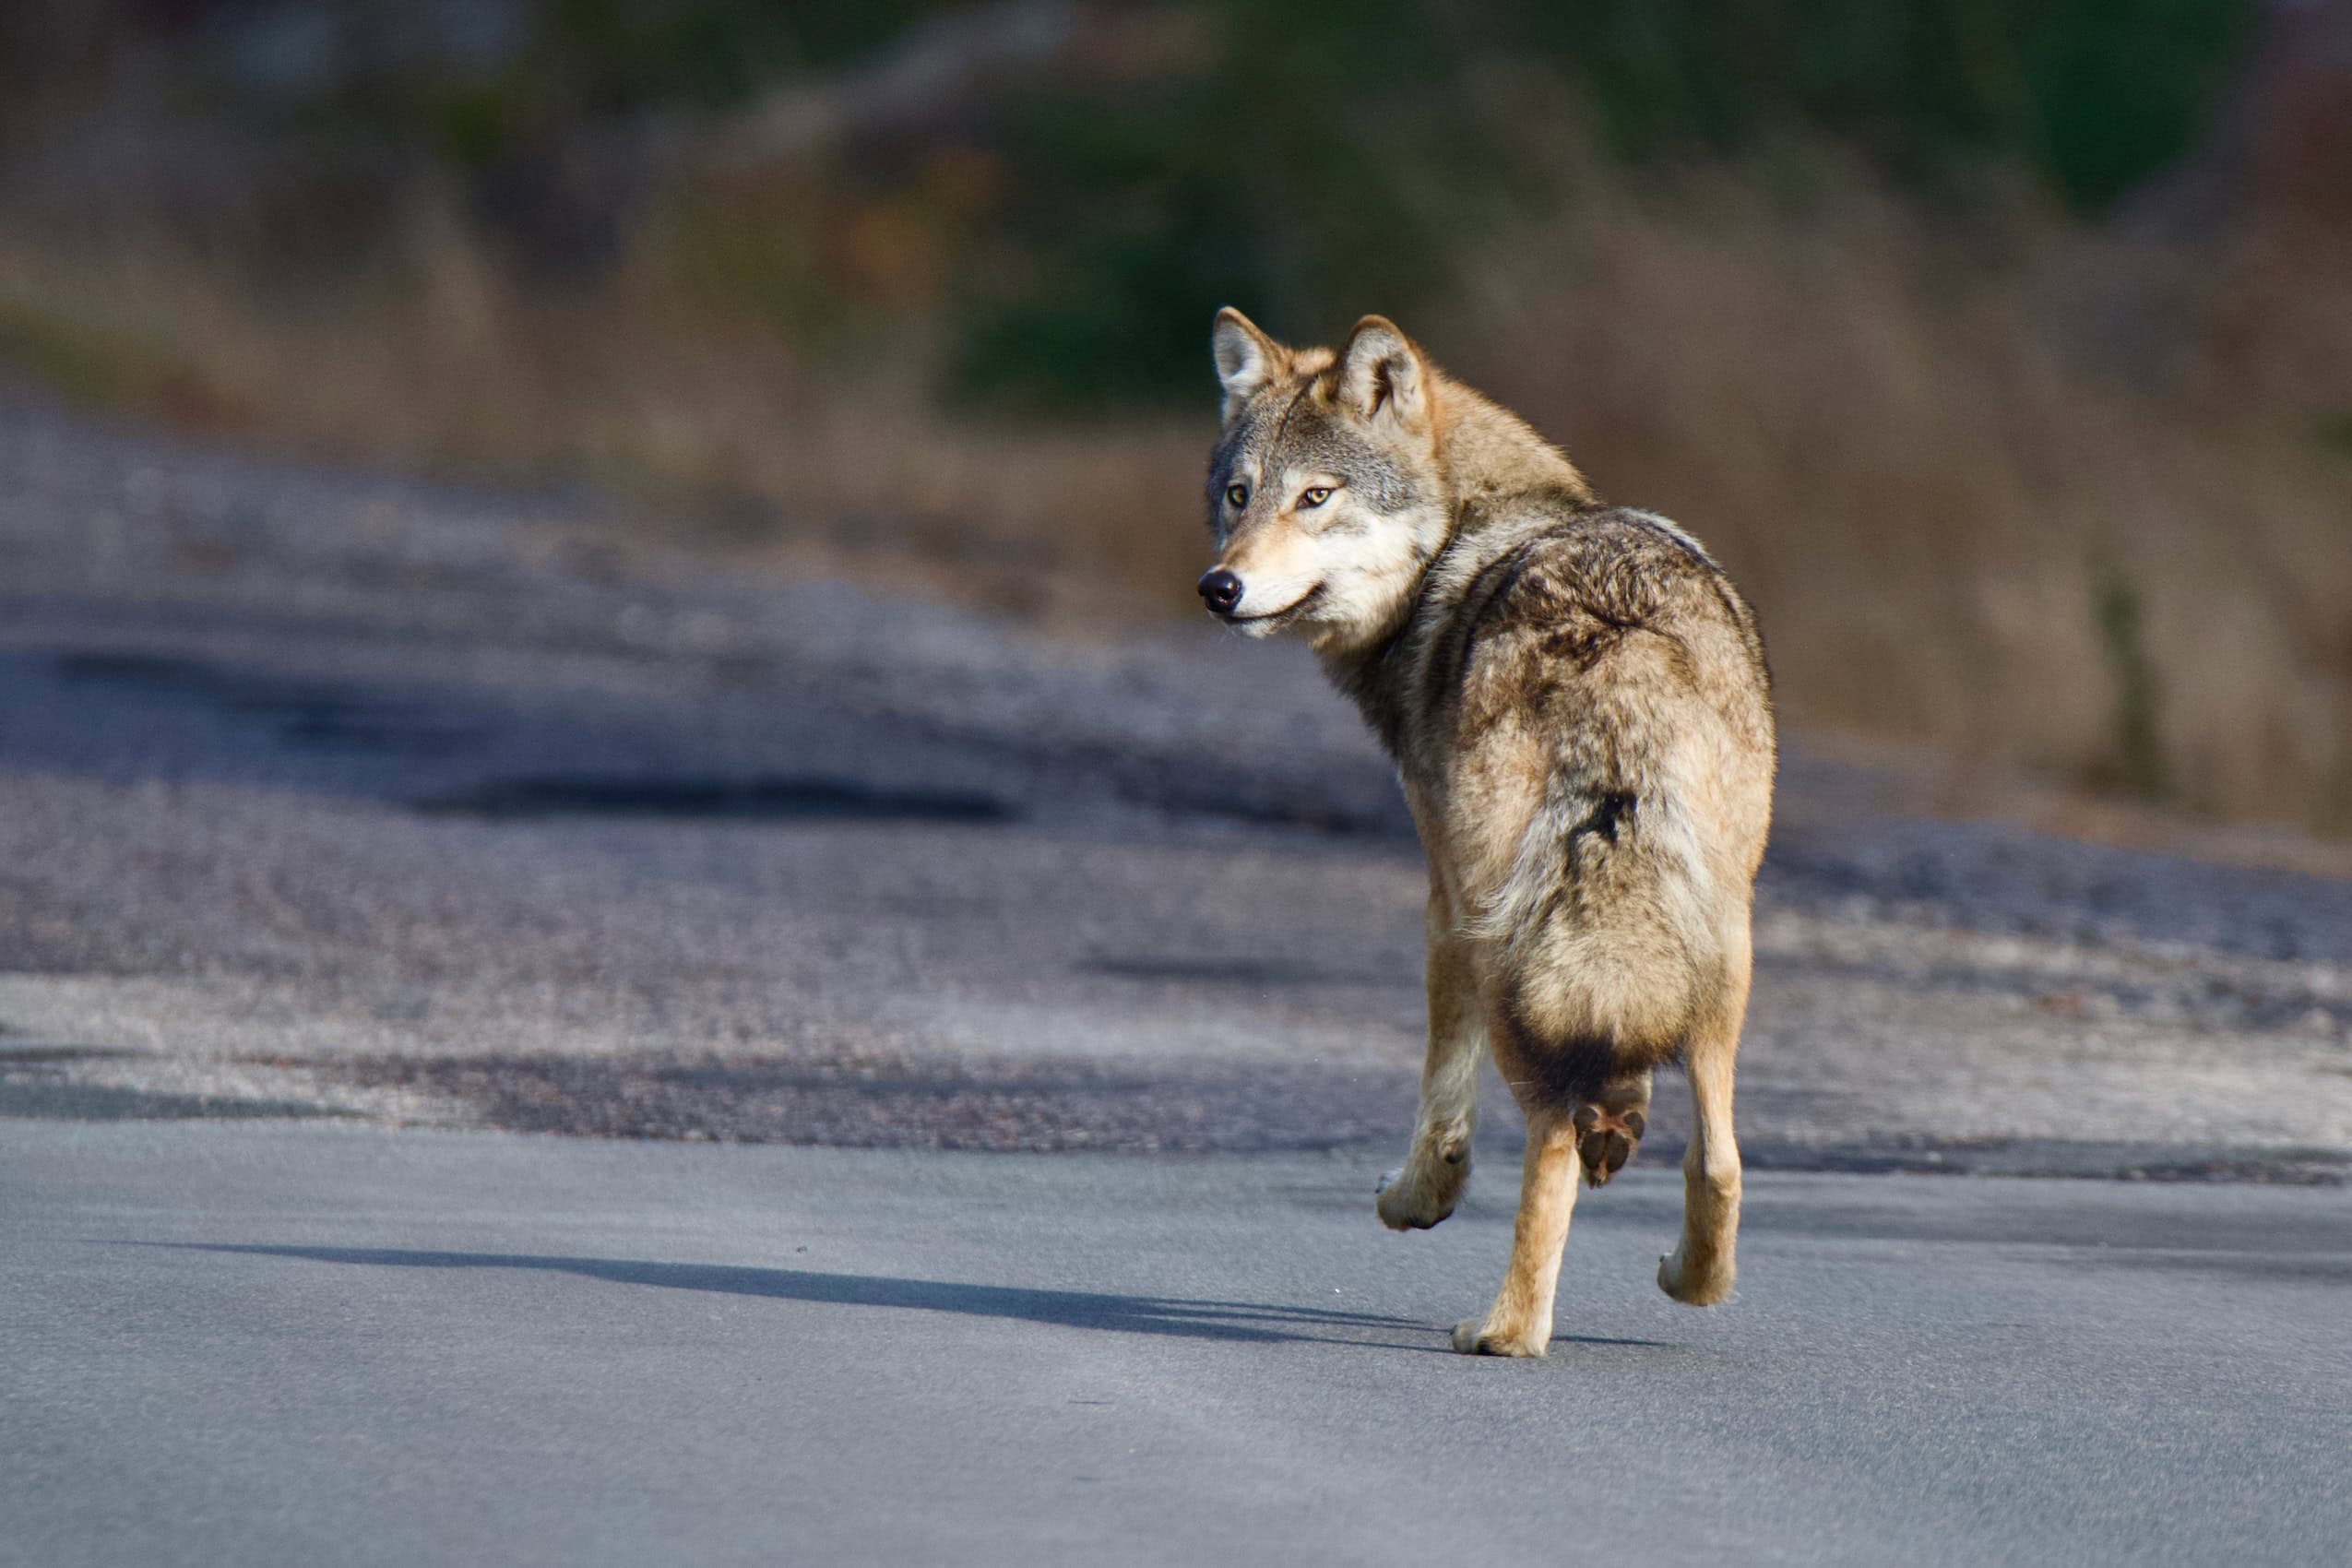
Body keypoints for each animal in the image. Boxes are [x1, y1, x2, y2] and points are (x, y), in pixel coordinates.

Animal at [1198, 309, 1775, 1356]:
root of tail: (1616, 643)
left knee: (1547, 1138)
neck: (1459, 538)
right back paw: (1690, 1278)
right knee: (1718, 1159)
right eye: (1239, 493)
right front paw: (1621, 1119)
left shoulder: (1442, 900)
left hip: (1508, 940)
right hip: (1723, 950)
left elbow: (1444, 1103)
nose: (1218, 587)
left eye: (1315, 497)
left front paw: (1415, 1199)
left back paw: (1506, 1329)